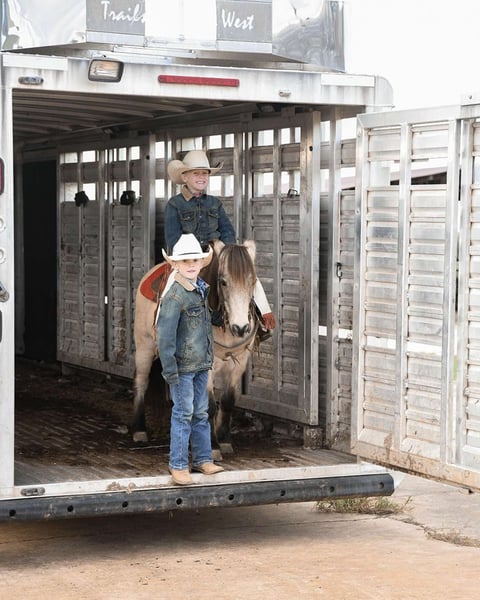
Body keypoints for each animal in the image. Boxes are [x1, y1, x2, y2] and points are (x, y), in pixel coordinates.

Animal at [132, 239, 259, 456]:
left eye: (252, 282)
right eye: (223, 282)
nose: (241, 327)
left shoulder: (239, 363)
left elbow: (228, 401)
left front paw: (224, 441)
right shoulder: (207, 366)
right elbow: (209, 405)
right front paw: (213, 446)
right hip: (144, 347)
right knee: (141, 382)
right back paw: (139, 430)